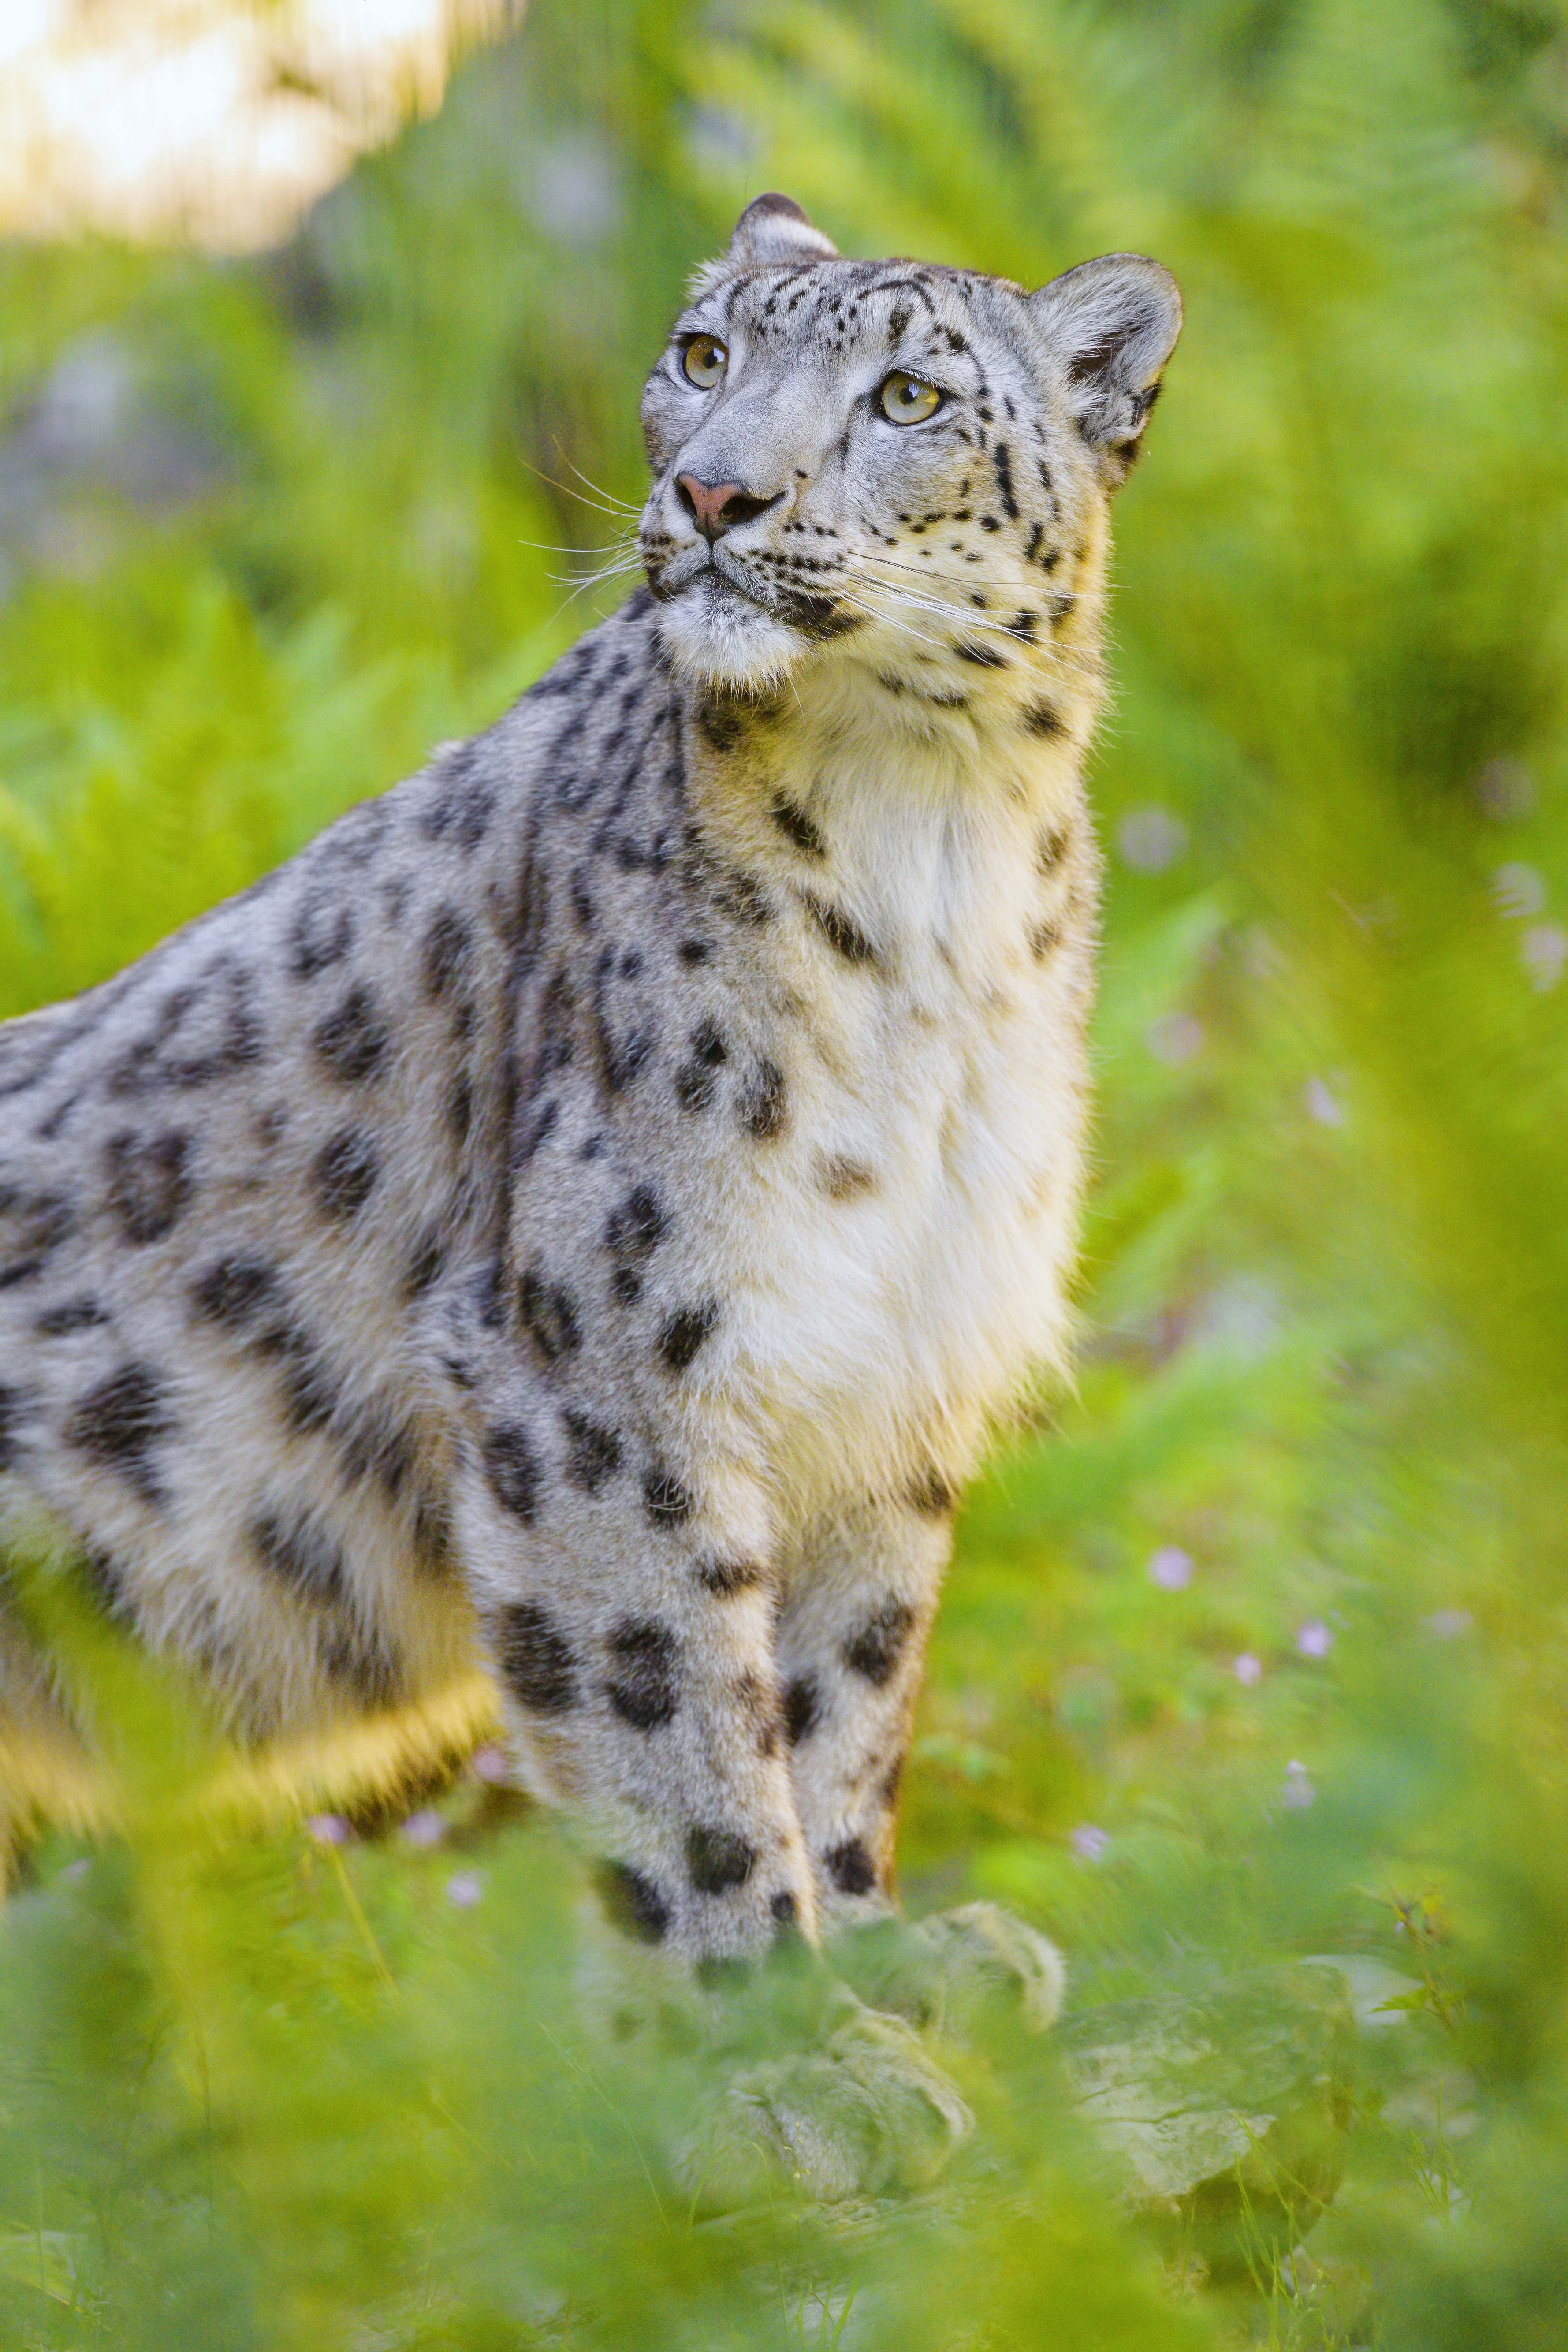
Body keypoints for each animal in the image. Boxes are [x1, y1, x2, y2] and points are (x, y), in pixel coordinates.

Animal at [0, 198, 1175, 2023]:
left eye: (908, 396)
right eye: (702, 356)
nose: (714, 492)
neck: (933, 849)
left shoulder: (895, 1364)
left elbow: (841, 1697)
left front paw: (891, 1959)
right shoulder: (607, 1360)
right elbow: (677, 1718)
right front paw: (784, 2031)